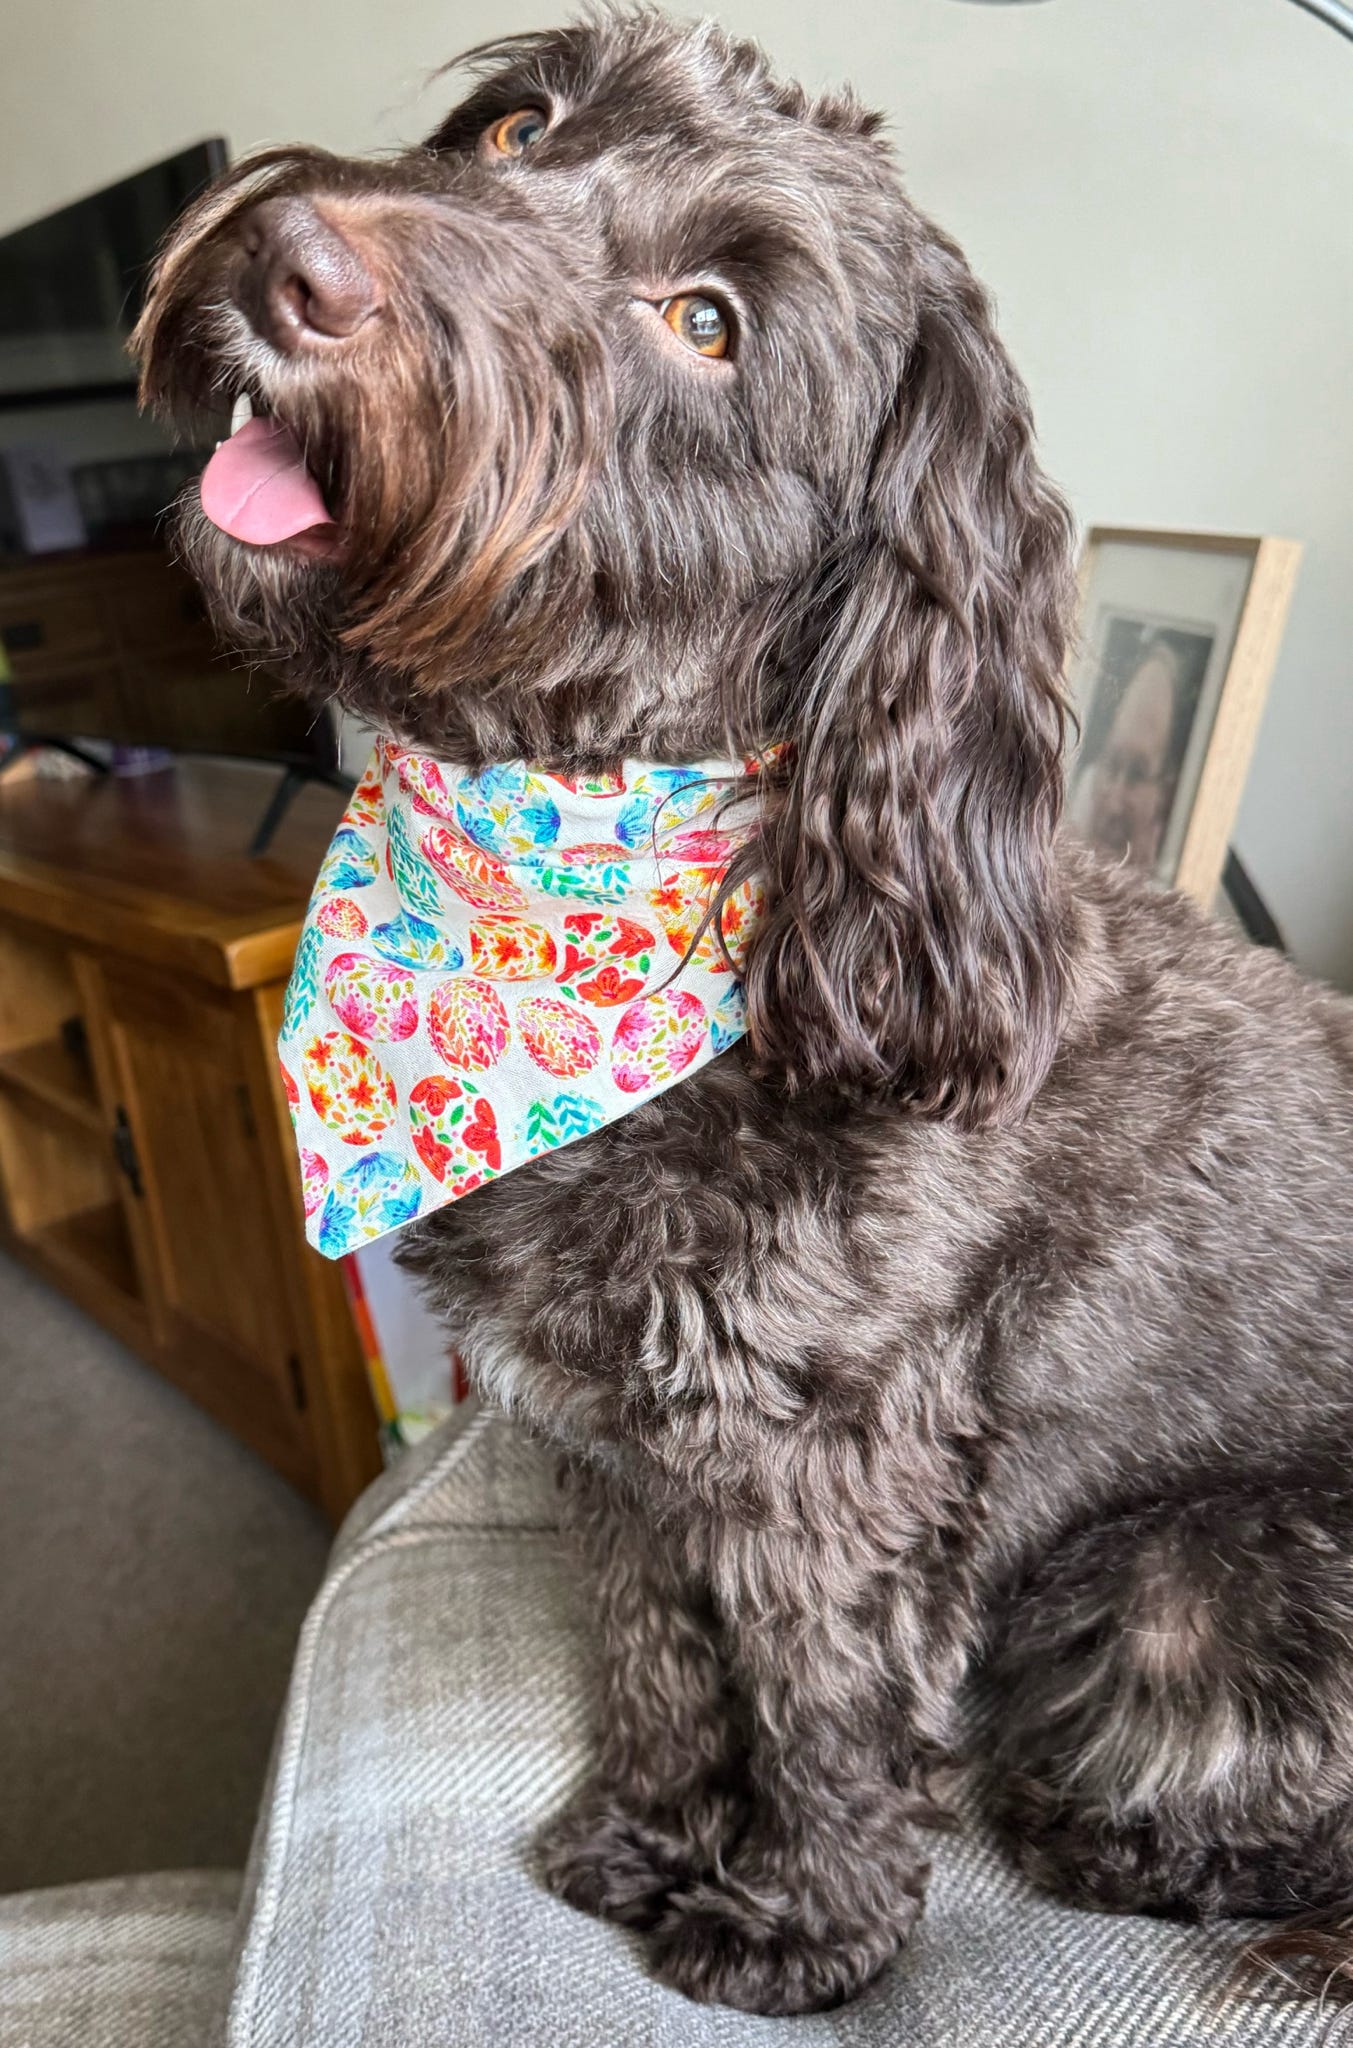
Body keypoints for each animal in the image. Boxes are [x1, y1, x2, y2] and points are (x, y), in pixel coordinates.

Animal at [134, 8, 1350, 2007]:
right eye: (516, 123)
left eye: (705, 322)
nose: (290, 250)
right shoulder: (618, 1458)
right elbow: (654, 1657)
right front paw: (644, 1831)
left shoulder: (836, 1470)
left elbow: (822, 1707)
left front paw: (798, 1922)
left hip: (1180, 1581)